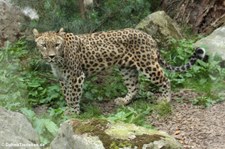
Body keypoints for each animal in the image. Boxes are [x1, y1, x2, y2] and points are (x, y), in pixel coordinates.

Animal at [33, 28, 206, 114]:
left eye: (56, 45)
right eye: (44, 45)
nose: (51, 56)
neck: (59, 61)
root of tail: (150, 37)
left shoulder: (76, 76)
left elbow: (74, 96)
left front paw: (73, 113)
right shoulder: (63, 79)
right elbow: (67, 96)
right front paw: (69, 110)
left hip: (147, 64)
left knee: (165, 79)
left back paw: (165, 100)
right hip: (127, 68)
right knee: (134, 87)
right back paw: (124, 101)